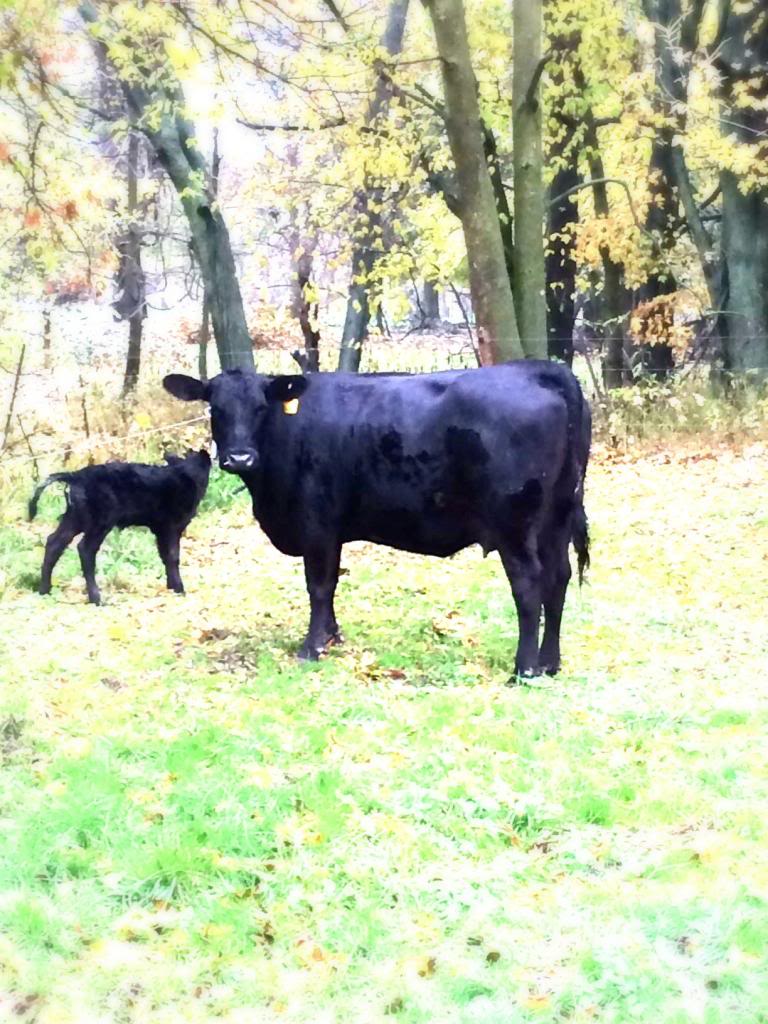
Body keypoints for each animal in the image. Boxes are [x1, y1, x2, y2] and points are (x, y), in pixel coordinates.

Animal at [29, 450, 210, 606]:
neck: (185, 474)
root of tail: (75, 476)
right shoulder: (172, 527)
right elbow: (173, 556)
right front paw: (179, 589)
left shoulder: (160, 529)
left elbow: (165, 556)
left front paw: (171, 587)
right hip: (100, 521)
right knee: (85, 549)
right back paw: (96, 598)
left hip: (75, 517)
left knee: (55, 543)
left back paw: (44, 590)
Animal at [165, 362, 593, 679]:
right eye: (215, 408)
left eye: (260, 407)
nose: (239, 457)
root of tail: (536, 369)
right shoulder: (332, 531)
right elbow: (331, 586)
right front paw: (332, 636)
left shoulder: (316, 524)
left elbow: (318, 586)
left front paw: (312, 647)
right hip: (556, 516)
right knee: (558, 578)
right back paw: (550, 664)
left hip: (514, 525)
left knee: (529, 586)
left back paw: (524, 670)